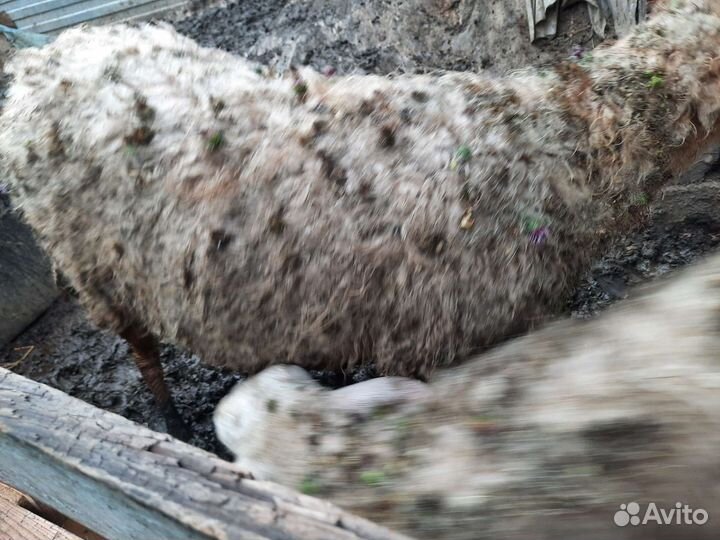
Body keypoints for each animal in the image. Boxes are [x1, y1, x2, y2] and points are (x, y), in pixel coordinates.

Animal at [2, 0, 720, 436]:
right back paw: (172, 422)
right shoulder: (451, 334)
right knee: (143, 352)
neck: (562, 145)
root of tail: (44, 56)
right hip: (96, 268)